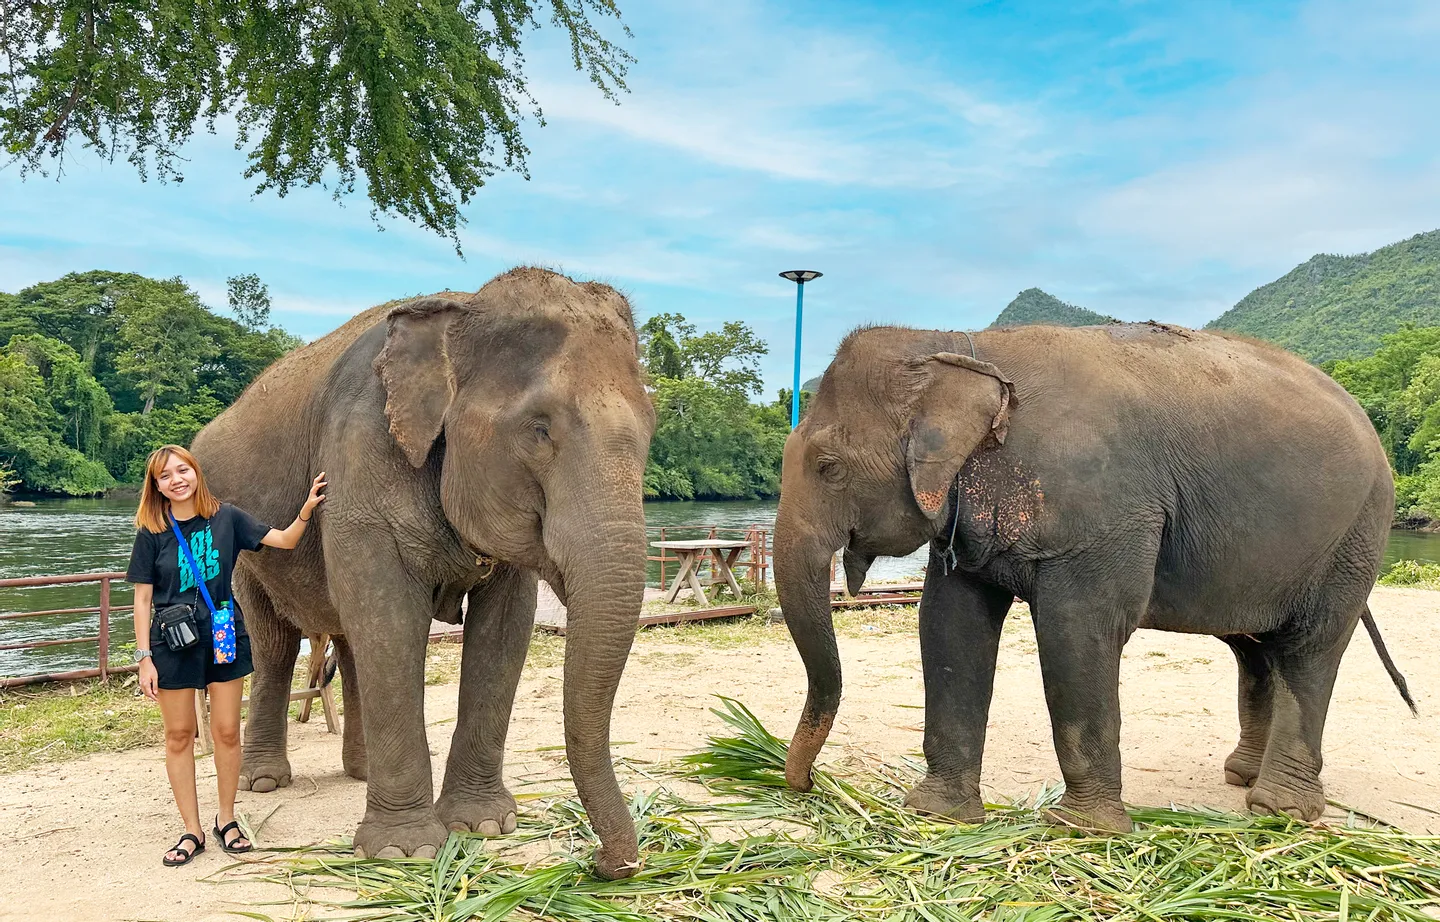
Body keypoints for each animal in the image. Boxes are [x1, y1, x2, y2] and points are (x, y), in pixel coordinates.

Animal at [190, 267, 655, 878]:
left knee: (350, 639)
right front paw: (402, 852)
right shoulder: (359, 454)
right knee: (275, 643)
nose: (604, 862)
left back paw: (359, 772)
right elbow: (391, 621)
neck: (461, 309)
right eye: (539, 430)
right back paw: (263, 782)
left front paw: (483, 826)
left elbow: (504, 631)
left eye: (652, 430)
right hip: (235, 548)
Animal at [774, 321, 1415, 832]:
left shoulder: (1105, 515)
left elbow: (1077, 631)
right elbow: (949, 624)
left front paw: (1084, 828)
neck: (964, 346)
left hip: (1356, 535)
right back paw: (1241, 777)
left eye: (828, 467)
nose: (806, 785)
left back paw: (1279, 811)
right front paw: (937, 816)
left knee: (1309, 649)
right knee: (1256, 650)